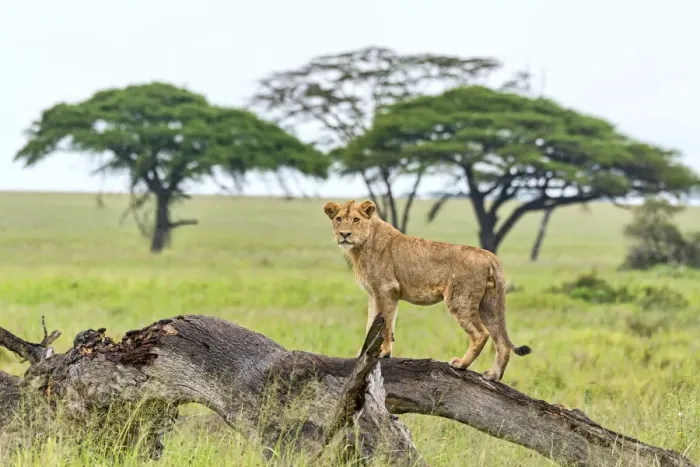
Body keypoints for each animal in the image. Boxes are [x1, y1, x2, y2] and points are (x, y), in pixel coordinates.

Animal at [323, 199, 531, 382]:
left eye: (356, 220)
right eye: (338, 219)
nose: (344, 234)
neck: (361, 246)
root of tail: (489, 255)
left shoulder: (386, 289)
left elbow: (386, 324)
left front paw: (383, 352)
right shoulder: (375, 294)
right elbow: (372, 323)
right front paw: (364, 352)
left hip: (460, 300)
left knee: (481, 334)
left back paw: (461, 364)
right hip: (489, 304)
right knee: (502, 342)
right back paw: (494, 376)